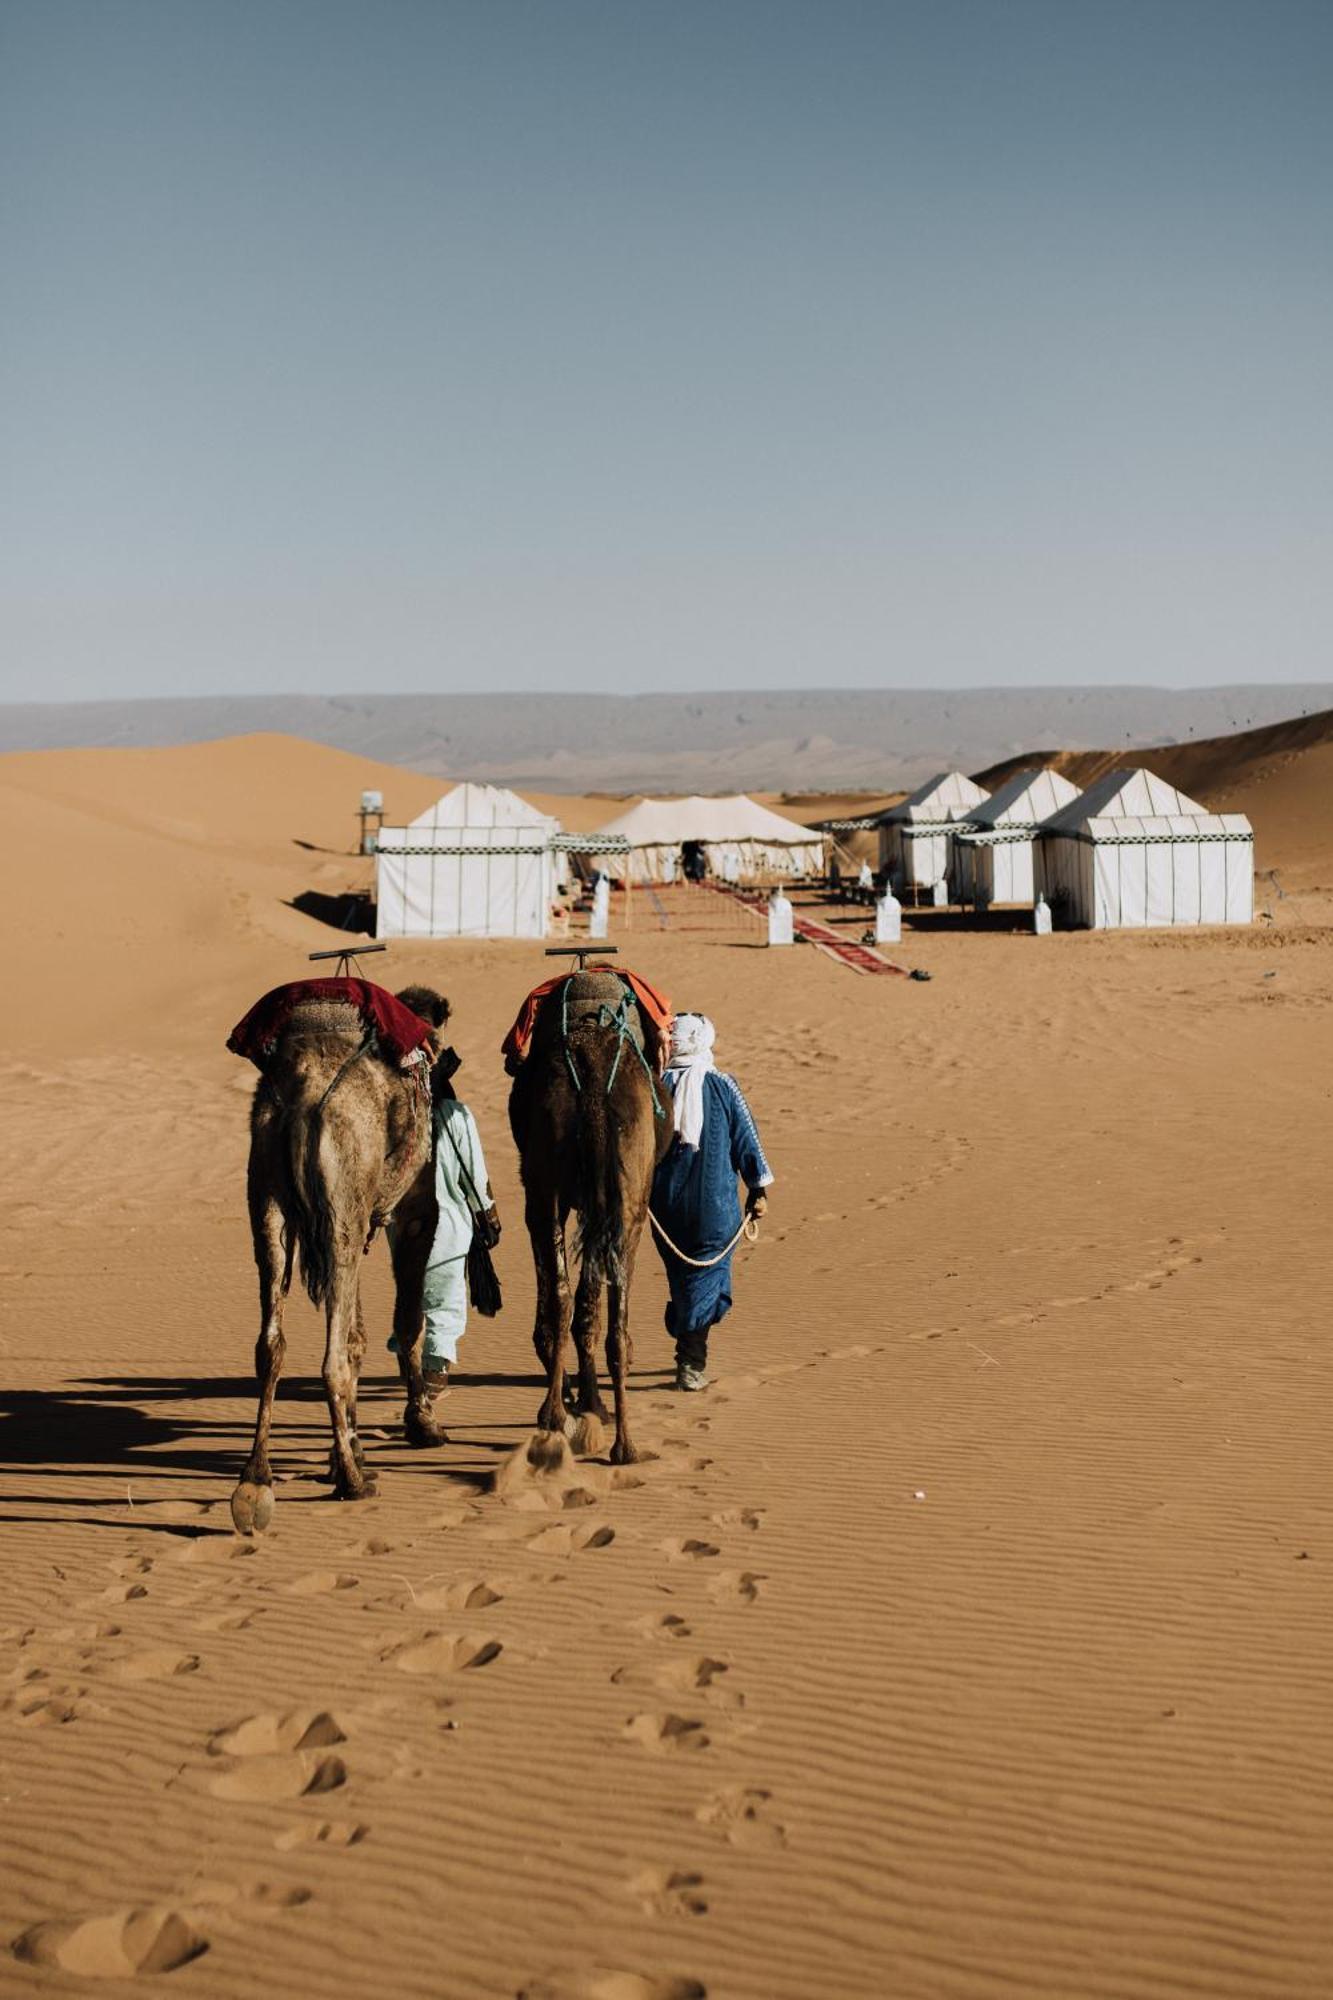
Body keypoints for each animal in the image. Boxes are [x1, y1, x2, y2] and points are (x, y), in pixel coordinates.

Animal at [228, 980, 452, 1528]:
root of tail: (305, 1095)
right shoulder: (414, 1212)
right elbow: (405, 1322)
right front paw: (421, 1424)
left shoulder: (360, 1214)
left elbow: (357, 1336)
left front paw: (347, 1449)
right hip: (339, 1204)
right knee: (329, 1360)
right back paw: (352, 1482)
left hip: (269, 1197)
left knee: (271, 1343)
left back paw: (255, 1481)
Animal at [506, 968, 668, 1472]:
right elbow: (591, 1303)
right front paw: (592, 1405)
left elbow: (579, 1303)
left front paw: (583, 1405)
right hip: (620, 1201)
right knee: (607, 1317)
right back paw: (611, 1439)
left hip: (556, 1187)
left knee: (565, 1300)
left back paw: (565, 1421)